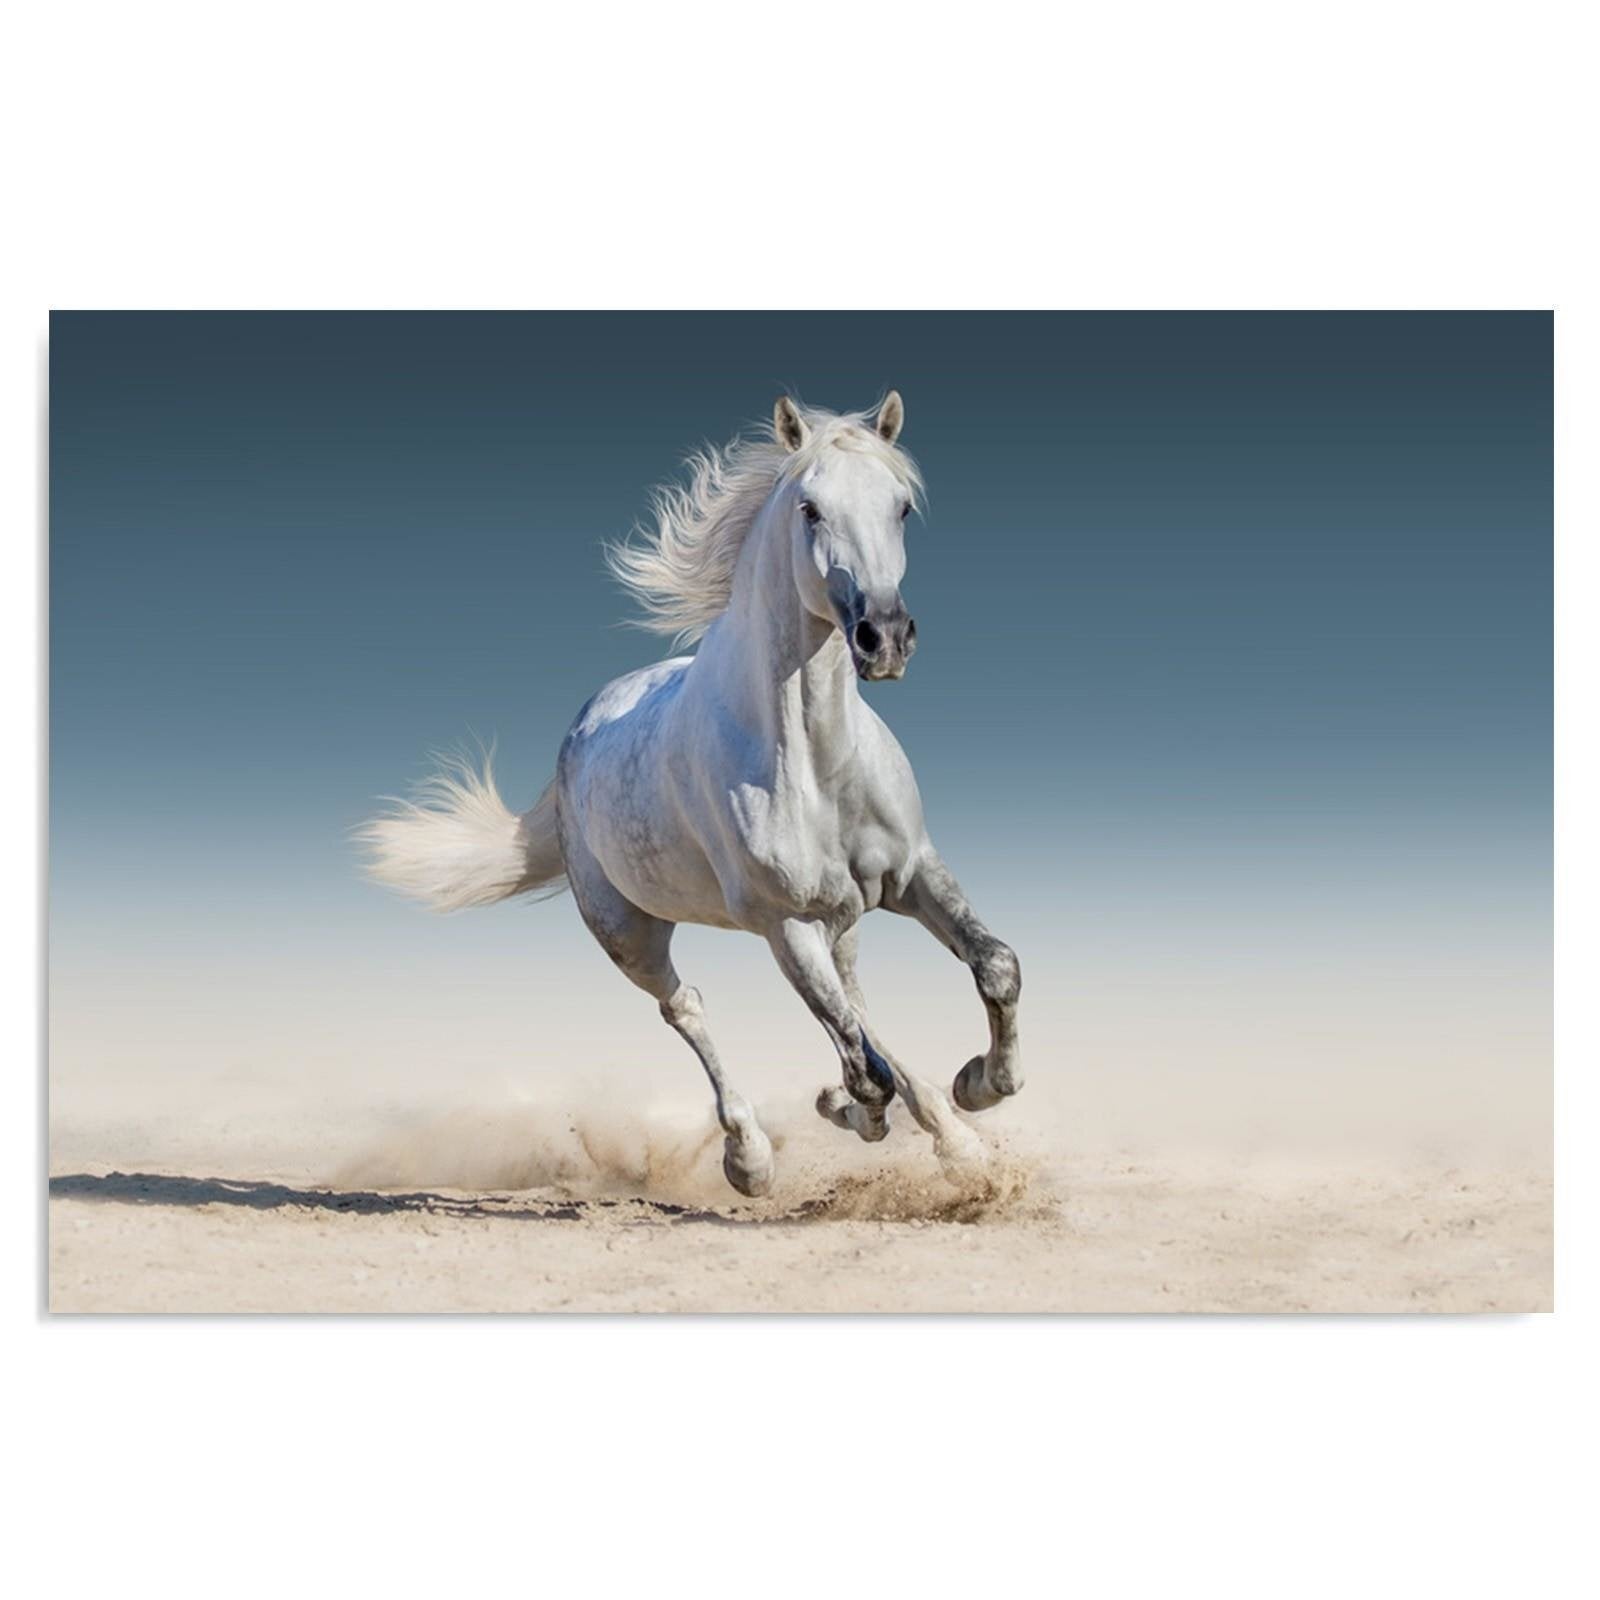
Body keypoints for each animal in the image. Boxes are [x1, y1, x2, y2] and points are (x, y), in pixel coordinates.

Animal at [358, 392, 1022, 1196]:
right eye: (810, 509)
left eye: (900, 506)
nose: (883, 638)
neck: (816, 760)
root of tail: (580, 731)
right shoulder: (784, 923)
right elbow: (863, 1066)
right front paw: (859, 1112)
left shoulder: (912, 871)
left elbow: (993, 968)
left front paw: (978, 1087)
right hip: (630, 934)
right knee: (690, 1009)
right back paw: (751, 1158)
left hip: (841, 919)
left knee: (855, 1002)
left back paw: (953, 1138)